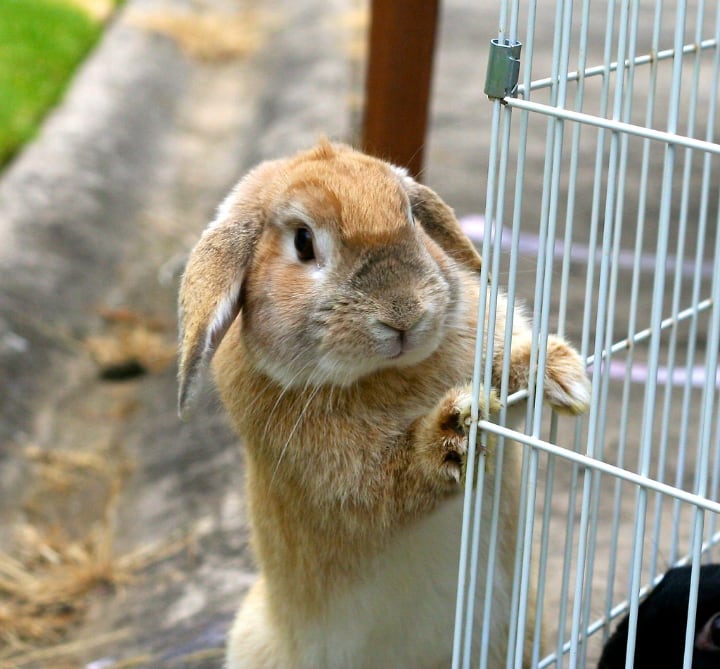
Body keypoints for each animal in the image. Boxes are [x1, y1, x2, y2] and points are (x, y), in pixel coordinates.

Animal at [176, 141, 592, 668]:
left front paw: (559, 372)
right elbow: (398, 480)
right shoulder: (344, 480)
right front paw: (453, 431)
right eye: (303, 242)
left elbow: (505, 387)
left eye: (411, 216)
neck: (387, 373)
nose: (403, 314)